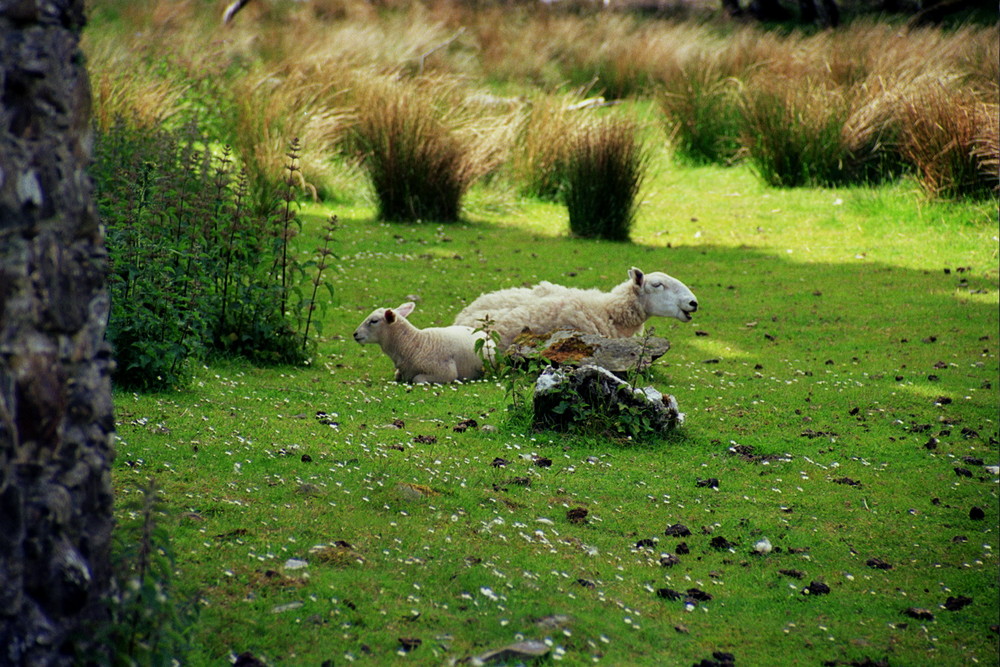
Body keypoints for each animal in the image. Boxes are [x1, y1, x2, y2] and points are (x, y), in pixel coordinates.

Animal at [354, 302, 494, 384]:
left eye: (374, 321)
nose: (355, 334)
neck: (414, 344)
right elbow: (397, 376)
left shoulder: (446, 373)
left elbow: (417, 378)